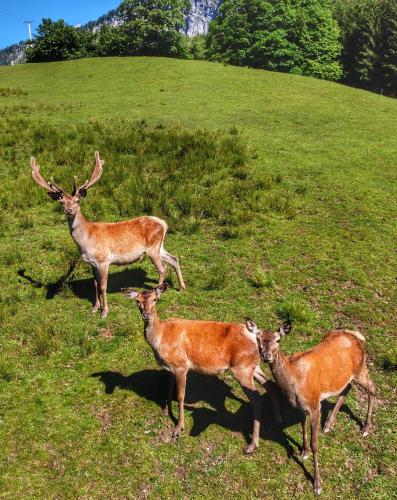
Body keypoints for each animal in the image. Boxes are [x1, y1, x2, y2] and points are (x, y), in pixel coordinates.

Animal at [30, 151, 185, 320]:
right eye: (62, 202)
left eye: (77, 200)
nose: (69, 210)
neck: (87, 241)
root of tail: (163, 223)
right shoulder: (91, 263)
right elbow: (95, 284)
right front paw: (94, 308)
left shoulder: (103, 260)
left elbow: (103, 286)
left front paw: (104, 311)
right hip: (159, 246)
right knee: (174, 258)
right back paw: (182, 287)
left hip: (152, 249)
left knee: (162, 268)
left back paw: (159, 294)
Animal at [122, 284, 280, 456]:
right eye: (137, 301)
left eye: (155, 299)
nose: (146, 315)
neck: (161, 338)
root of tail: (255, 336)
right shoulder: (170, 367)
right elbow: (169, 388)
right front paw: (165, 410)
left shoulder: (181, 364)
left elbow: (181, 396)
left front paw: (178, 428)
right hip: (253, 366)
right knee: (270, 385)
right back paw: (277, 421)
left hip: (242, 368)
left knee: (257, 399)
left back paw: (252, 445)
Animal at [249, 320, 376, 496]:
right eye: (258, 339)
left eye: (278, 339)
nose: (266, 356)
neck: (294, 382)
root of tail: (357, 336)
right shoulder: (299, 407)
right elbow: (303, 428)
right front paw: (304, 452)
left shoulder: (315, 405)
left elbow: (315, 443)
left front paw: (317, 484)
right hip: (347, 376)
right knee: (347, 387)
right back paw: (328, 424)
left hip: (360, 368)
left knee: (372, 388)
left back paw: (365, 428)